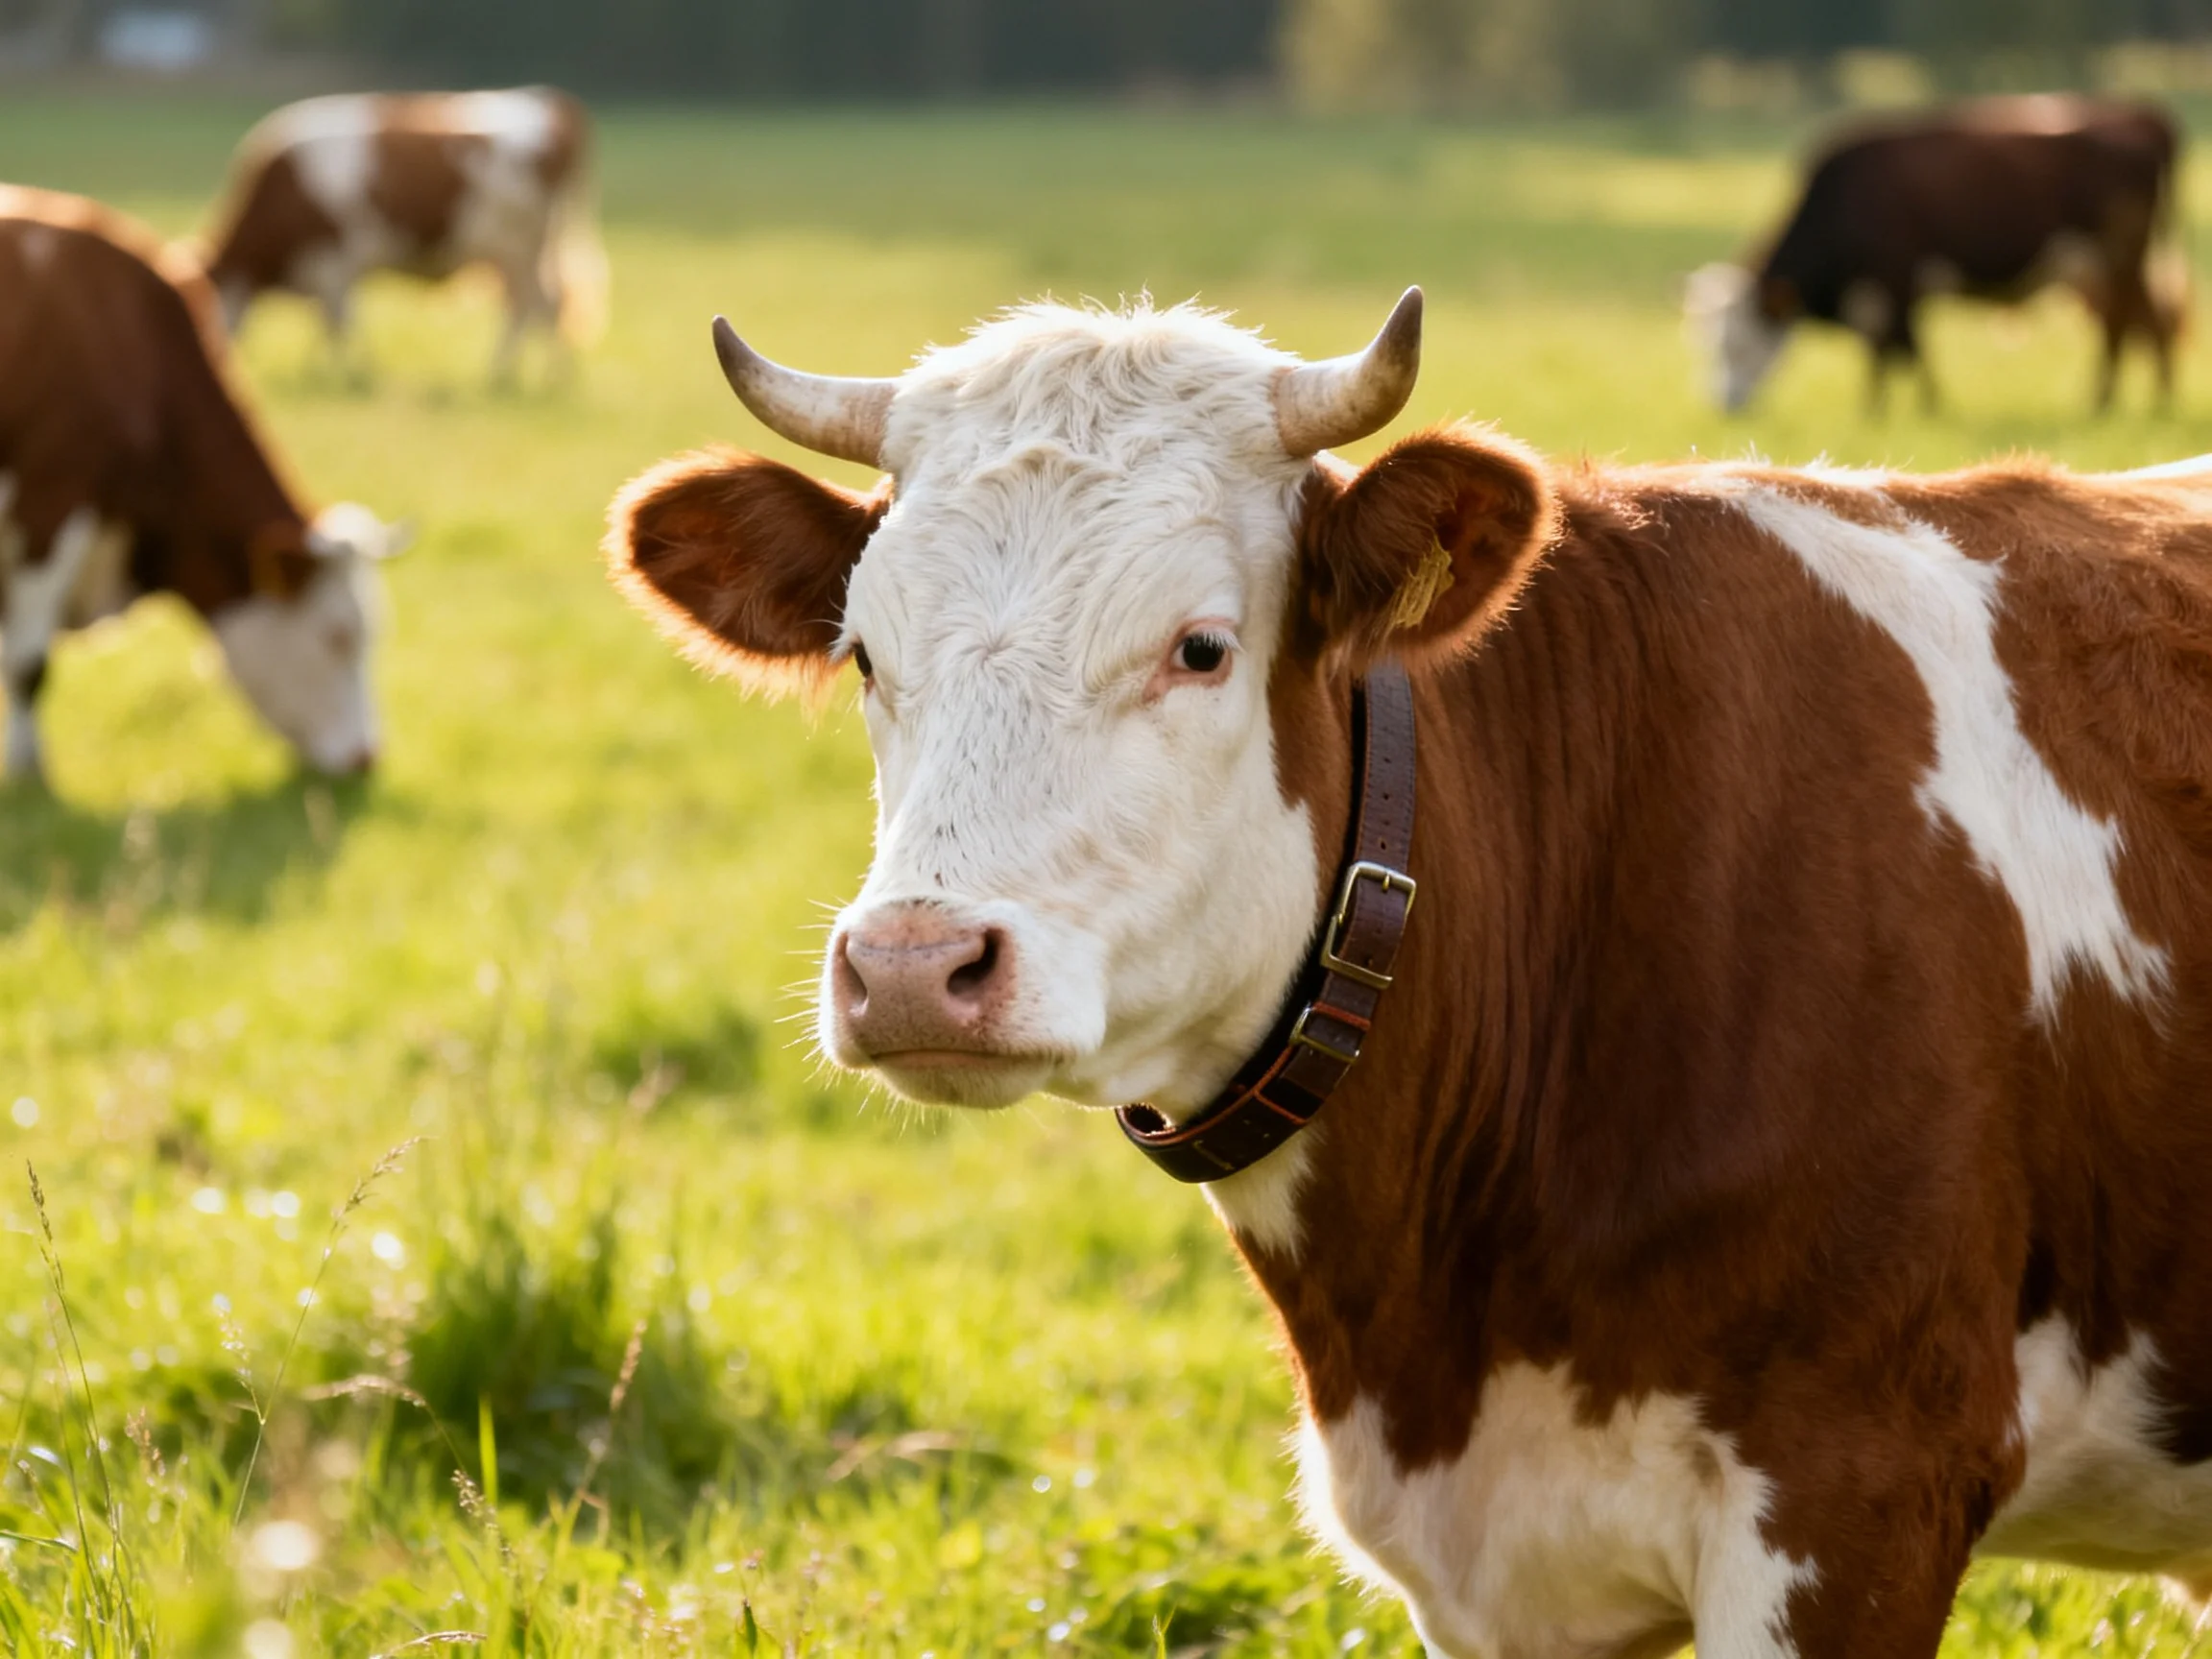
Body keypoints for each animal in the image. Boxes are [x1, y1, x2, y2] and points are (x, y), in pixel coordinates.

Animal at [203, 87, 605, 381]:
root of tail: (545, 98)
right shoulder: (327, 274)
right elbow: (331, 324)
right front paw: (321, 370)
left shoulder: (334, 265)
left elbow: (341, 324)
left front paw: (353, 374)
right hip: (517, 254)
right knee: (532, 306)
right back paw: (516, 374)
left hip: (519, 250)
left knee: (541, 306)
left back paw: (532, 375)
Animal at [1687, 96, 2183, 415]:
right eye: (1709, 344)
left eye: (1738, 345)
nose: (1724, 405)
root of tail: (2143, 126)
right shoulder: (1883, 291)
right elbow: (1889, 349)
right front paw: (1880, 408)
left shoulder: (1896, 277)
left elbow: (1904, 348)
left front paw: (1916, 407)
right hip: (2106, 266)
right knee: (2140, 320)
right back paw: (2144, 398)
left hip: (2119, 257)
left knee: (2126, 324)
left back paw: (2110, 400)